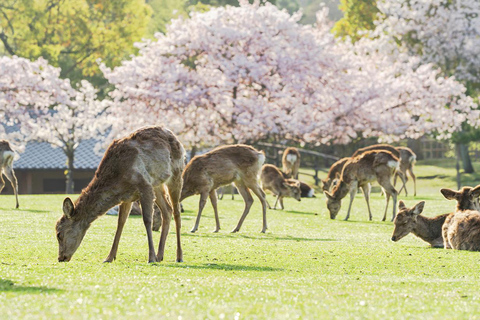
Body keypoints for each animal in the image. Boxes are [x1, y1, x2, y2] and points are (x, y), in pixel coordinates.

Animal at [55, 126, 185, 264]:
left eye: (59, 233)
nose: (61, 258)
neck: (118, 182)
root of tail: (174, 136)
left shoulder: (144, 186)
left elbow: (146, 220)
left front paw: (151, 257)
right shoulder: (127, 197)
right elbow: (120, 222)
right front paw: (109, 257)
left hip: (176, 173)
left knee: (176, 212)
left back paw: (178, 256)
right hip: (157, 184)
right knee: (167, 210)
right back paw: (160, 256)